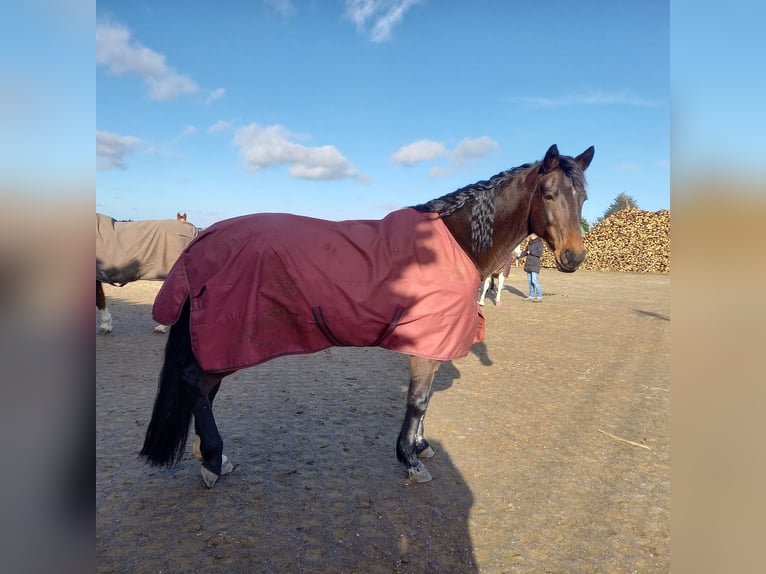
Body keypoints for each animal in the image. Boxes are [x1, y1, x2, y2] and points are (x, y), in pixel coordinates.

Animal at [140, 146, 592, 488]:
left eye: (584, 198)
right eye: (547, 193)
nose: (573, 258)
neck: (455, 243)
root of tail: (203, 240)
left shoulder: (434, 343)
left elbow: (426, 401)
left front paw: (421, 446)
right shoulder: (426, 344)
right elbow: (417, 401)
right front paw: (410, 459)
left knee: (204, 387)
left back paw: (208, 455)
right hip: (228, 339)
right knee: (197, 383)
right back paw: (214, 460)